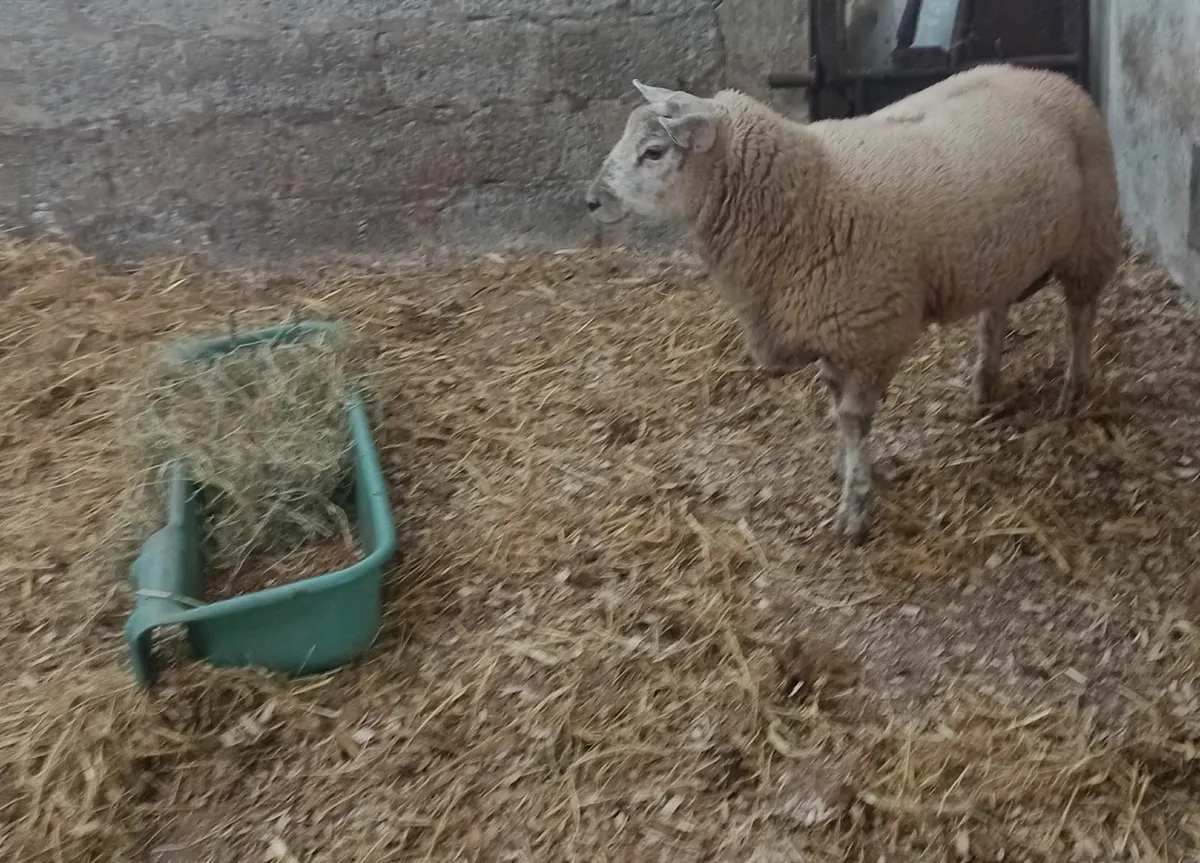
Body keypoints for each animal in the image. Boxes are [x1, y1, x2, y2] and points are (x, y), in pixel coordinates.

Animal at [584, 64, 1122, 545]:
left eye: (654, 151)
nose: (590, 200)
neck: (807, 197)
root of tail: (1047, 74)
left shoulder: (870, 335)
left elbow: (853, 419)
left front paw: (856, 507)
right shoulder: (832, 331)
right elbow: (835, 406)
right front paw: (842, 467)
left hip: (1090, 237)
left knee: (1081, 315)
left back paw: (1073, 388)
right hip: (1001, 252)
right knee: (996, 312)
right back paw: (985, 383)